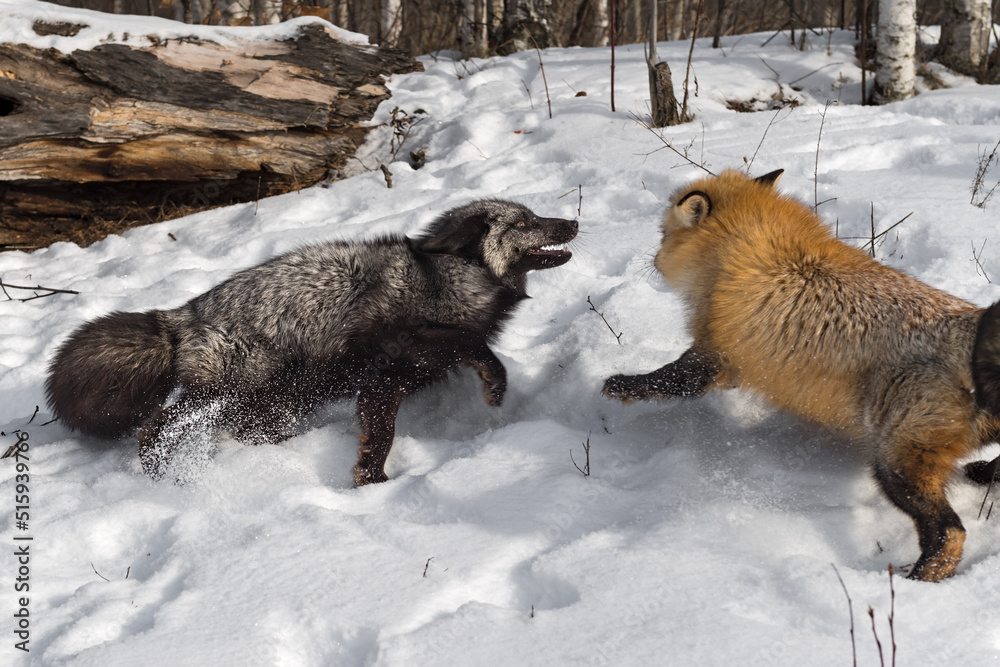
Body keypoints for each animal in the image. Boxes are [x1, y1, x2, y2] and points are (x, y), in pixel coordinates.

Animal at [46, 200, 578, 485]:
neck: (448, 279)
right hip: (230, 389)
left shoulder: (389, 380)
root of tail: (182, 315)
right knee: (156, 425)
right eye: (524, 222)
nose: (573, 222)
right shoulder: (406, 344)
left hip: (278, 401)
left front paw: (369, 480)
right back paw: (162, 476)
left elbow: (380, 431)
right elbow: (473, 345)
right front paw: (495, 384)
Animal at [602, 169, 1000, 582]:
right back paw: (983, 474)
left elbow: (665, 378)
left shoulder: (713, 357)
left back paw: (915, 580)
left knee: (950, 533)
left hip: (894, 463)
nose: (653, 260)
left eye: (662, 234)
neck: (759, 254)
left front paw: (619, 384)